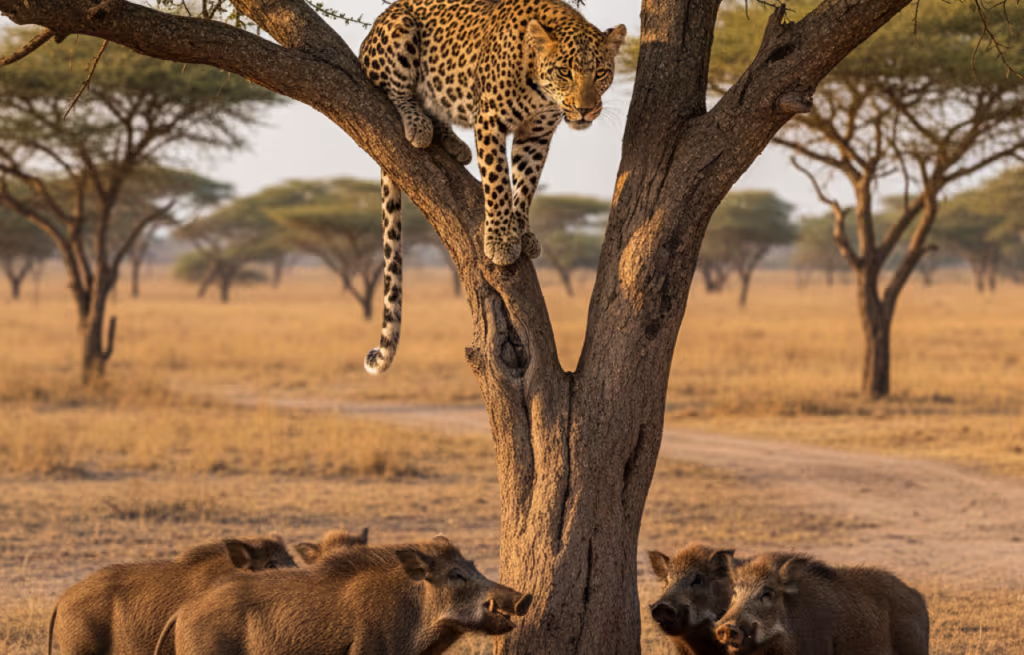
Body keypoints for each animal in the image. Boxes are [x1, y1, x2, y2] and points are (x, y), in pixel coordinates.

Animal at [361, 0, 626, 374]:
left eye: (601, 73)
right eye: (564, 71)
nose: (585, 110)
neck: (538, 86)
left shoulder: (536, 133)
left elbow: (526, 183)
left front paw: (523, 231)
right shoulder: (490, 119)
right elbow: (498, 181)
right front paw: (500, 240)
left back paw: (452, 143)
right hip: (399, 32)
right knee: (395, 90)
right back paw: (418, 126)